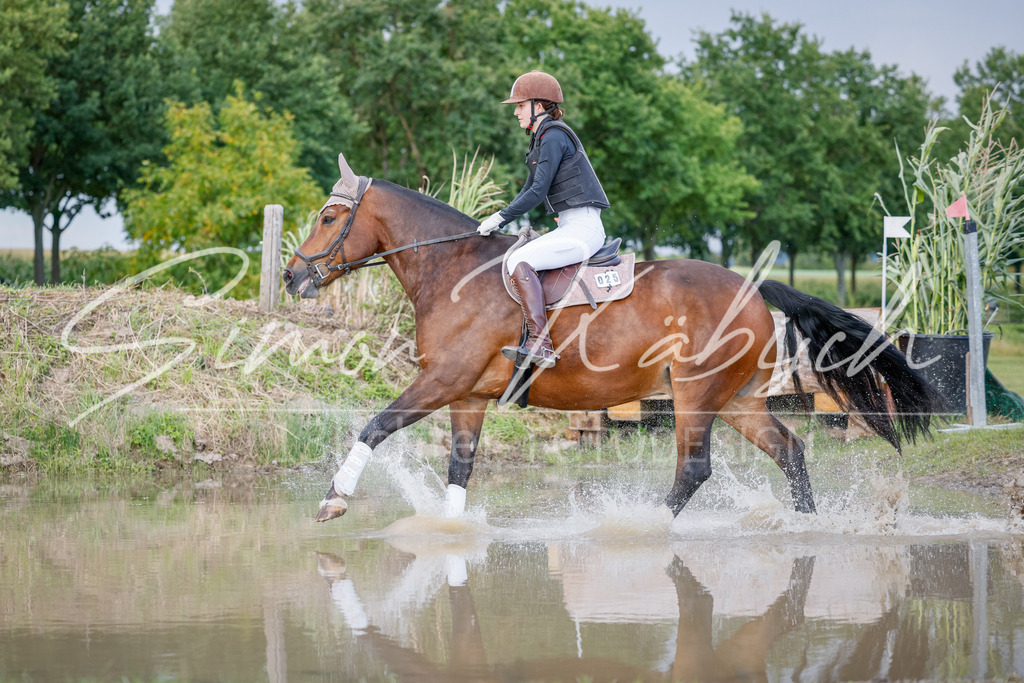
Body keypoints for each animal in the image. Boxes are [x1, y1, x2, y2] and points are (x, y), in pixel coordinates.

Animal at [284, 154, 941, 523]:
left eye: (326, 217)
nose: (292, 276)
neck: (453, 270)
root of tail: (754, 289)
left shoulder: (443, 380)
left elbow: (375, 425)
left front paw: (334, 499)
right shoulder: (466, 394)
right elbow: (460, 468)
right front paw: (449, 535)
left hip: (696, 396)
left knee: (694, 468)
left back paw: (643, 529)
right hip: (736, 400)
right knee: (789, 450)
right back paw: (808, 526)